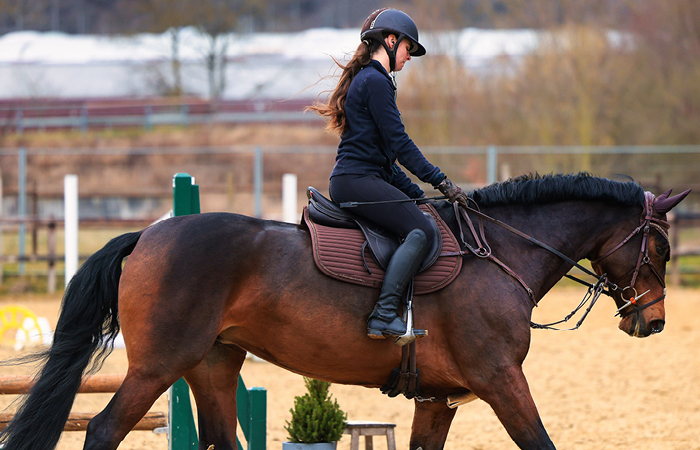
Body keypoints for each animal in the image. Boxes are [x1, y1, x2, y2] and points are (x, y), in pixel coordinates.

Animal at [0, 173, 691, 450]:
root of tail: (148, 234)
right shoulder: (500, 380)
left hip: (214, 364)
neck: (502, 253)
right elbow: (540, 442)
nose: (652, 321)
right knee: (101, 431)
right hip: (156, 366)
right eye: (659, 247)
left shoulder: (439, 398)